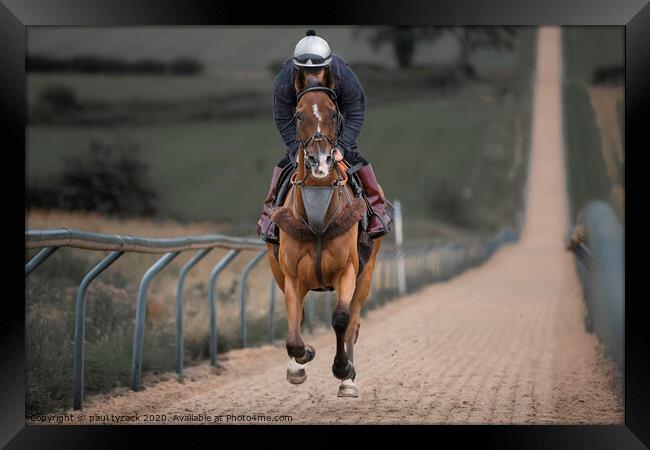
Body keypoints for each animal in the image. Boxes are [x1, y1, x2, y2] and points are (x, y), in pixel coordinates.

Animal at [266, 74, 382, 398]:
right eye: (298, 114)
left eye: (333, 112)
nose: (320, 161)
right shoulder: (292, 276)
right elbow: (294, 331)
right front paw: (301, 360)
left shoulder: (348, 269)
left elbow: (341, 319)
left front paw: (343, 370)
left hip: (366, 274)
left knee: (353, 320)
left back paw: (349, 380)